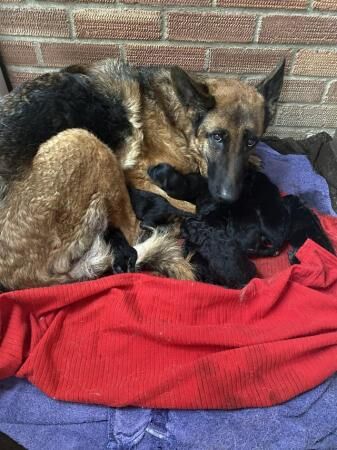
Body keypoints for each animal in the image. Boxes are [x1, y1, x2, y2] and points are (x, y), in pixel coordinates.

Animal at [0, 58, 284, 290]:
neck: (176, 117)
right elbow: (182, 202)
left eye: (251, 141)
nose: (228, 198)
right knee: (134, 230)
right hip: (83, 141)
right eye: (217, 137)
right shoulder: (141, 175)